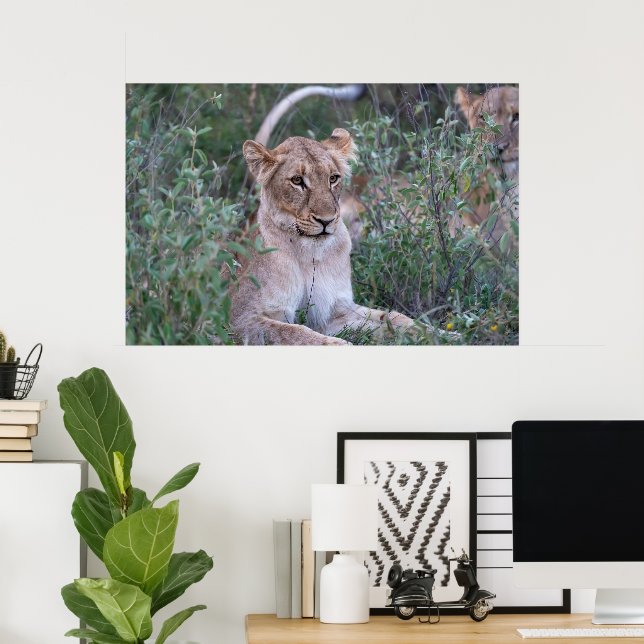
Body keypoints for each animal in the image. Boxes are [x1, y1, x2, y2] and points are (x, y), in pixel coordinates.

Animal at [229, 128, 416, 345]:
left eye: (333, 178)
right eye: (297, 180)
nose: (326, 221)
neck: (308, 253)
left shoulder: (333, 311)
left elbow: (389, 317)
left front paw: (428, 330)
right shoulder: (240, 319)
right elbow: (294, 332)